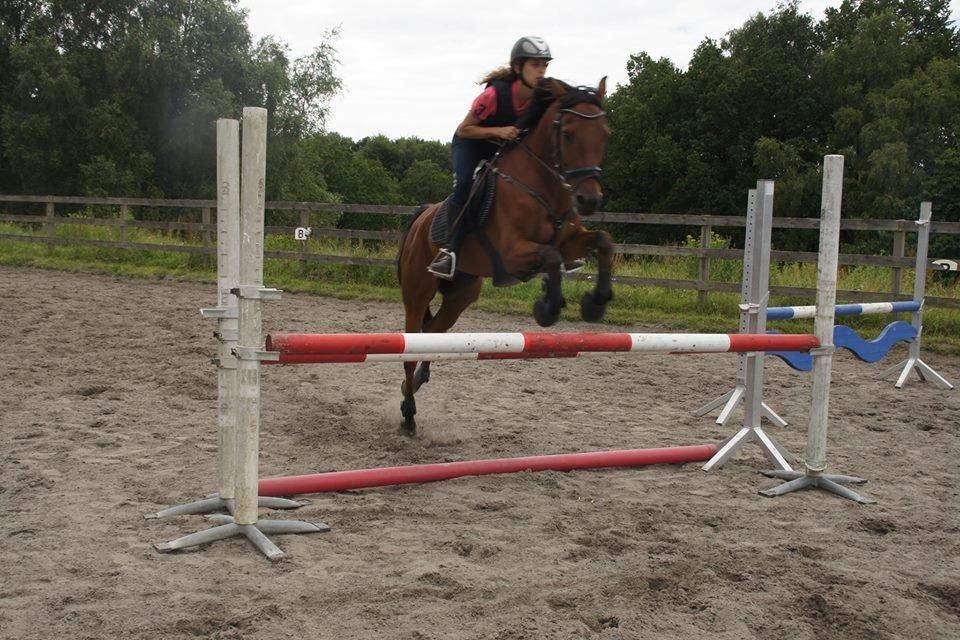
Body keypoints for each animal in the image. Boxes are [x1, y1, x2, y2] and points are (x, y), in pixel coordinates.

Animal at [395, 77, 614, 432]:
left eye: (605, 134)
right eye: (568, 134)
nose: (589, 200)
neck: (543, 187)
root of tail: (421, 217)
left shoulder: (570, 241)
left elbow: (604, 242)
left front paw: (595, 304)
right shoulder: (512, 252)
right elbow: (550, 257)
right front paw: (547, 308)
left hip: (461, 295)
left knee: (433, 333)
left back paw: (412, 385)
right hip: (417, 293)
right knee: (411, 345)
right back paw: (409, 413)